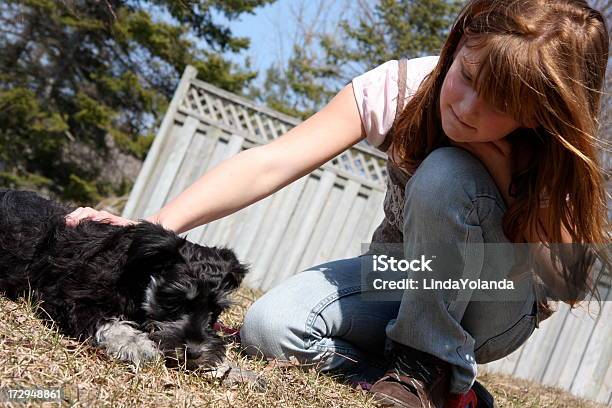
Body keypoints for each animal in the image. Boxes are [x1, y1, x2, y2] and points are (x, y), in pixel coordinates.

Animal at [0, 190, 250, 368]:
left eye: (215, 310)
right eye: (174, 299)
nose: (196, 352)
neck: (138, 275)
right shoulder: (68, 297)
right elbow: (105, 322)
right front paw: (136, 344)